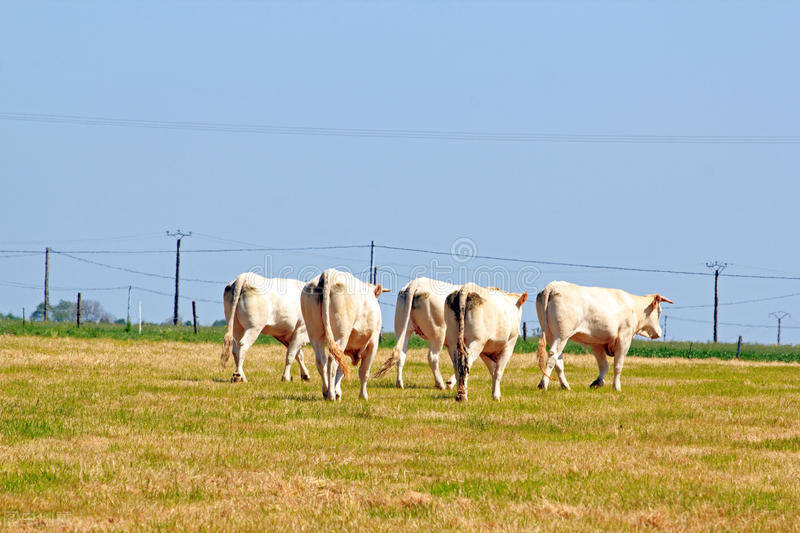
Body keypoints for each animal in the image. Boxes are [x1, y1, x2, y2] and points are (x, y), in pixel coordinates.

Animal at [298, 270, 390, 400]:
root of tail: (329, 273)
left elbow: (342, 369)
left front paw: (338, 391)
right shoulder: (373, 342)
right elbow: (364, 371)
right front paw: (363, 396)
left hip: (315, 333)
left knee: (321, 361)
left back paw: (326, 391)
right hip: (341, 335)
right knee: (332, 361)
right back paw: (331, 395)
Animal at [536, 280, 676, 392]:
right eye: (659, 312)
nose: (659, 332)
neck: (634, 307)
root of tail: (554, 286)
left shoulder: (597, 343)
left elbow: (604, 365)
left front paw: (597, 382)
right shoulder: (624, 339)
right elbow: (618, 365)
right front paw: (617, 387)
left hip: (551, 334)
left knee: (558, 360)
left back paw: (565, 386)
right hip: (562, 335)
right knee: (553, 356)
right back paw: (543, 384)